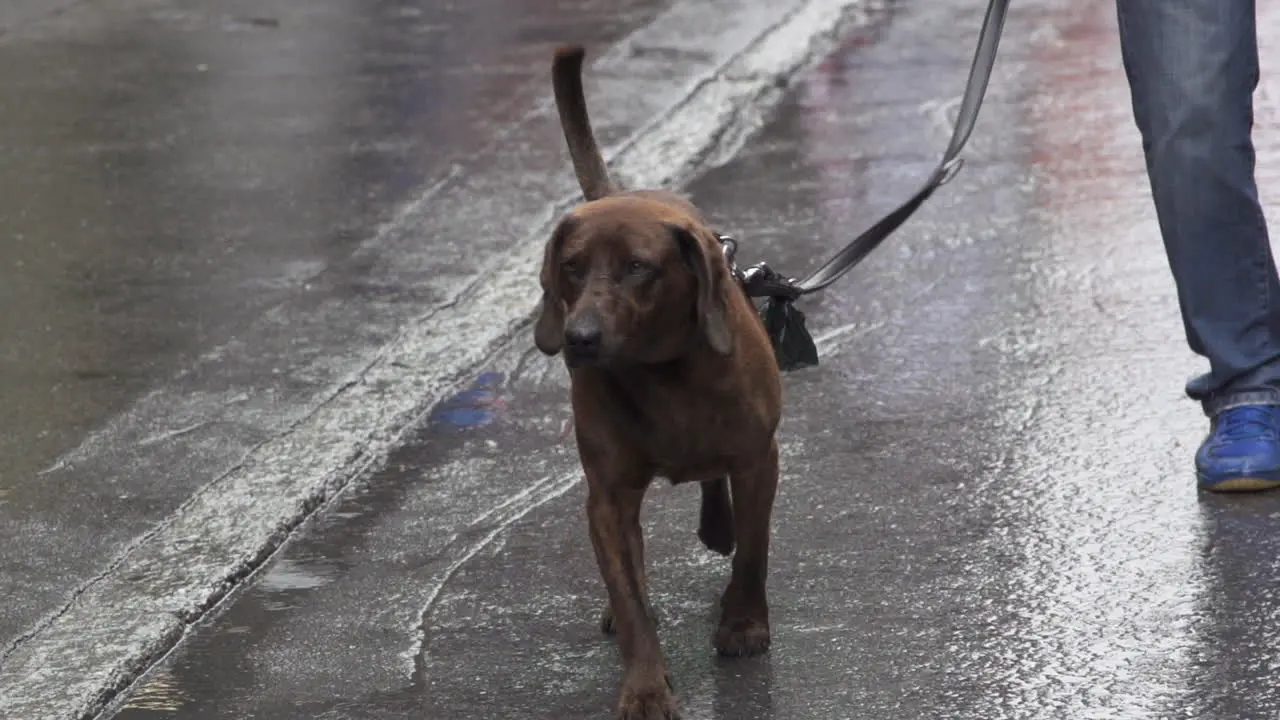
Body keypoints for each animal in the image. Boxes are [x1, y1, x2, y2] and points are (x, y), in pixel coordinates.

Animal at [529, 46, 778, 717]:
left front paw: (744, 623)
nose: (579, 339)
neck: (663, 375)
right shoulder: (608, 496)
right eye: (571, 268)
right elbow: (630, 596)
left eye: (639, 268)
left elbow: (754, 552)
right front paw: (644, 686)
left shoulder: (758, 459)